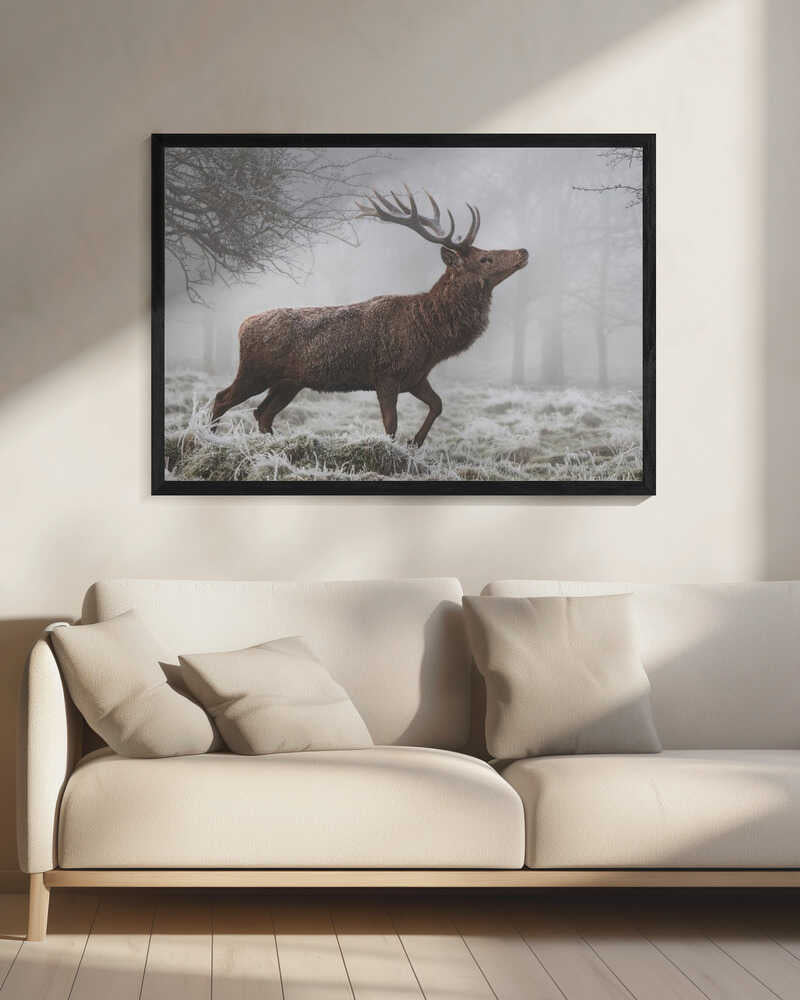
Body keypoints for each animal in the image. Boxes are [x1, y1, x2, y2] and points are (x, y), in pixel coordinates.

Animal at [210, 186, 528, 446]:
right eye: (485, 258)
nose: (523, 251)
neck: (430, 335)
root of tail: (242, 325)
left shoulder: (415, 376)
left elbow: (438, 405)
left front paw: (416, 442)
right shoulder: (386, 374)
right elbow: (391, 424)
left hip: (289, 382)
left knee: (262, 413)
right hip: (255, 371)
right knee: (222, 398)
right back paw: (210, 437)